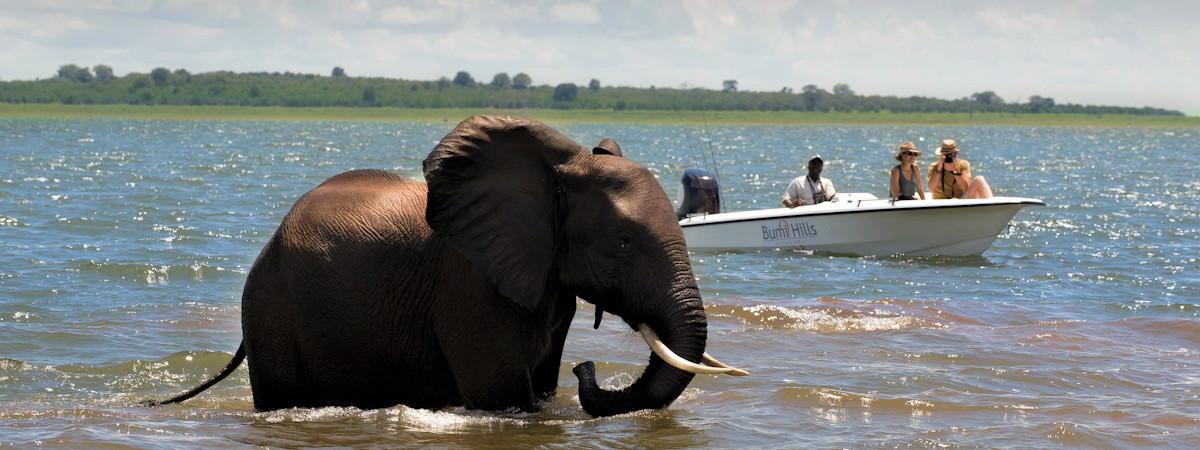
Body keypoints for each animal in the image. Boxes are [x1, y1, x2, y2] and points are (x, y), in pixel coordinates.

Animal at [140, 117, 739, 420]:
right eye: (622, 243)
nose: (586, 369)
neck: (554, 172)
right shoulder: (469, 284)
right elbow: (500, 394)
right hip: (272, 312)